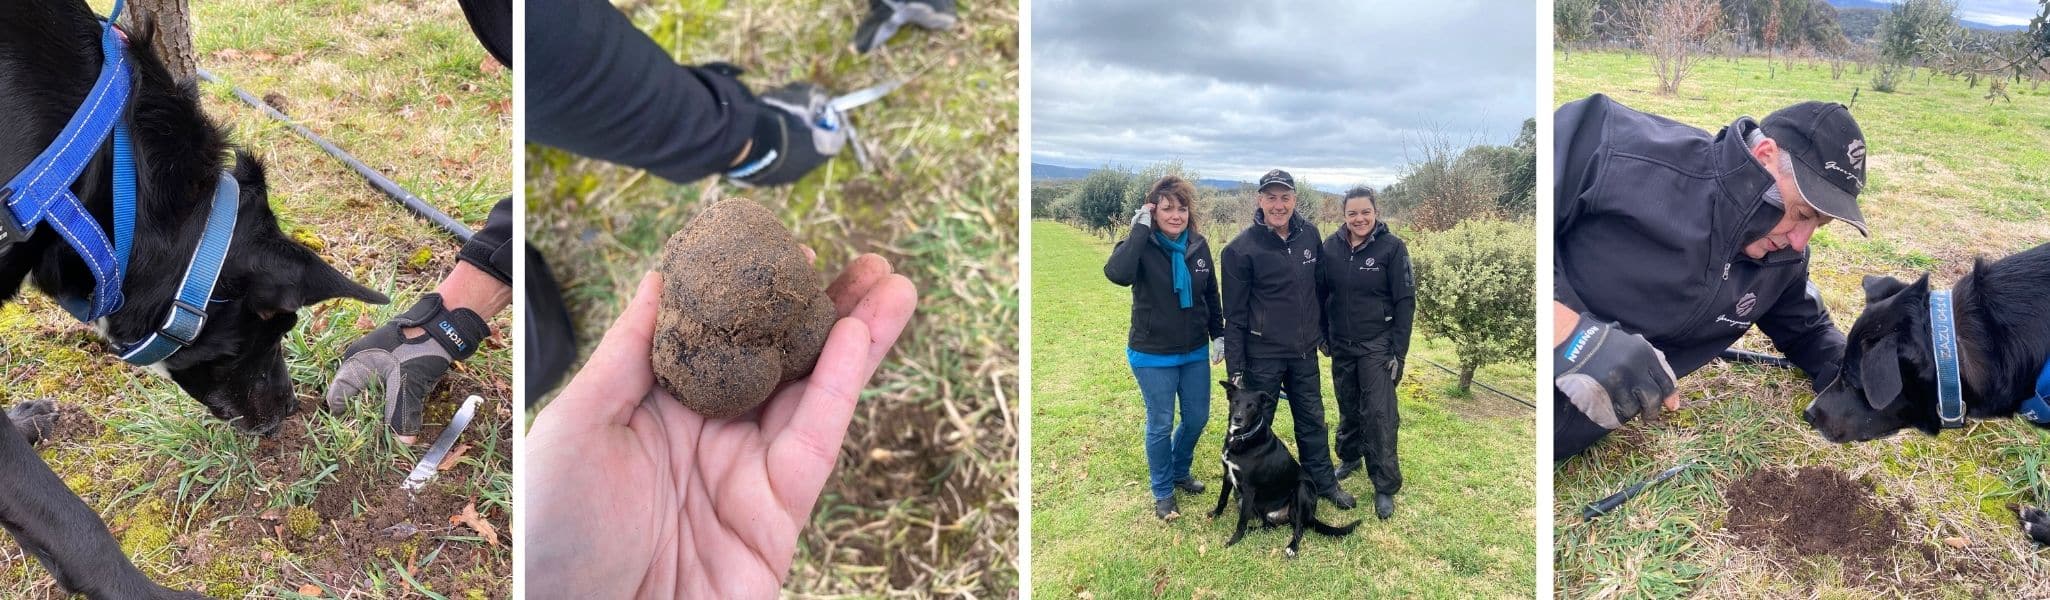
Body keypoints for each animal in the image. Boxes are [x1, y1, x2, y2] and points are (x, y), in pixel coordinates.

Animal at [1197, 378, 1361, 556]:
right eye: (1235, 402)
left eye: (1251, 406)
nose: (1237, 418)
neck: (1243, 437)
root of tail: (1310, 515)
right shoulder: (1227, 474)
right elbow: (1222, 499)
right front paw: (1215, 515)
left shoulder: (1249, 488)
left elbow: (1241, 520)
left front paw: (1234, 540)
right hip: (1258, 507)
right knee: (1269, 526)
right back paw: (1252, 530)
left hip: (1302, 489)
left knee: (1299, 528)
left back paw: (1292, 547)